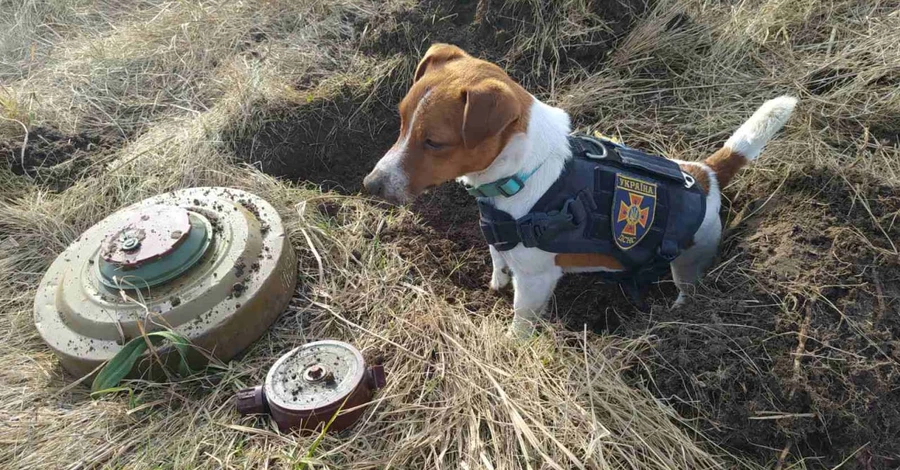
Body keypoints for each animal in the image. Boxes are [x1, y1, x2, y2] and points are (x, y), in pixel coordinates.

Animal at [362, 44, 800, 336]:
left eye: (434, 143)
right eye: (401, 120)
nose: (370, 184)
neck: (523, 172)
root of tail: (705, 173)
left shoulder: (536, 280)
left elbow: (521, 319)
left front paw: (512, 342)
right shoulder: (499, 240)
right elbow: (497, 261)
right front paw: (495, 283)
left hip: (691, 260)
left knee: (688, 287)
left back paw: (676, 313)